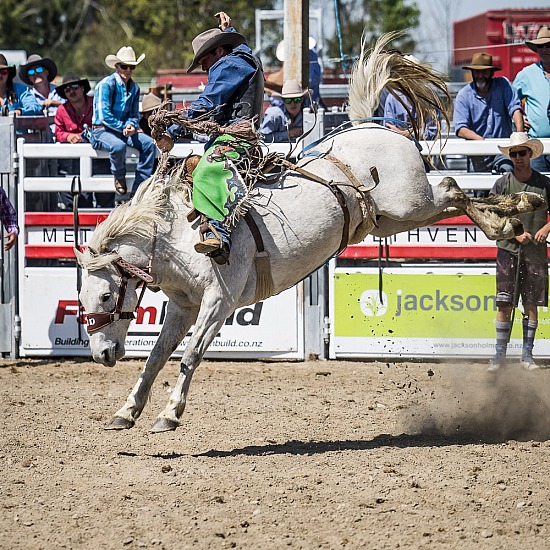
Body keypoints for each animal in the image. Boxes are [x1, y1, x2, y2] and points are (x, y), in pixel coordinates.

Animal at [77, 35, 548, 436]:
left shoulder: (218, 301)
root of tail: (372, 125)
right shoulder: (182, 305)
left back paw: (513, 215)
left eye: (105, 295)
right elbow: (156, 357)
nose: (101, 355)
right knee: (452, 198)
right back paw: (514, 214)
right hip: (391, 219)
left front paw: (170, 415)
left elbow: (189, 354)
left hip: (409, 203)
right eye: (81, 301)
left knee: (451, 187)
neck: (175, 234)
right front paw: (127, 411)